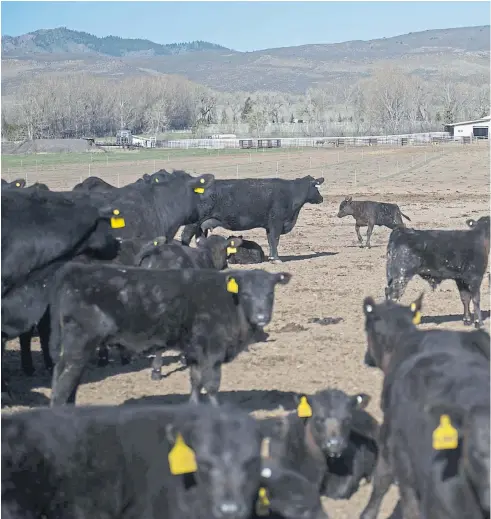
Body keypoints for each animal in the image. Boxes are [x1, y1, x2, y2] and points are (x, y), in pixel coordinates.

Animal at [48, 266, 290, 408]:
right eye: (246, 293)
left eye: (270, 293)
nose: (261, 317)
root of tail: (76, 270)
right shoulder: (212, 350)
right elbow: (211, 384)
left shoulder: (195, 351)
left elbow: (195, 381)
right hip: (79, 344)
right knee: (63, 383)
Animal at [179, 176, 324, 264]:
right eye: (316, 188)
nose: (322, 198)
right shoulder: (276, 222)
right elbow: (275, 240)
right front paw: (276, 259)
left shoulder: (269, 226)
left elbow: (270, 240)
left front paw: (271, 257)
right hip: (193, 223)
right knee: (185, 236)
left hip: (201, 225)